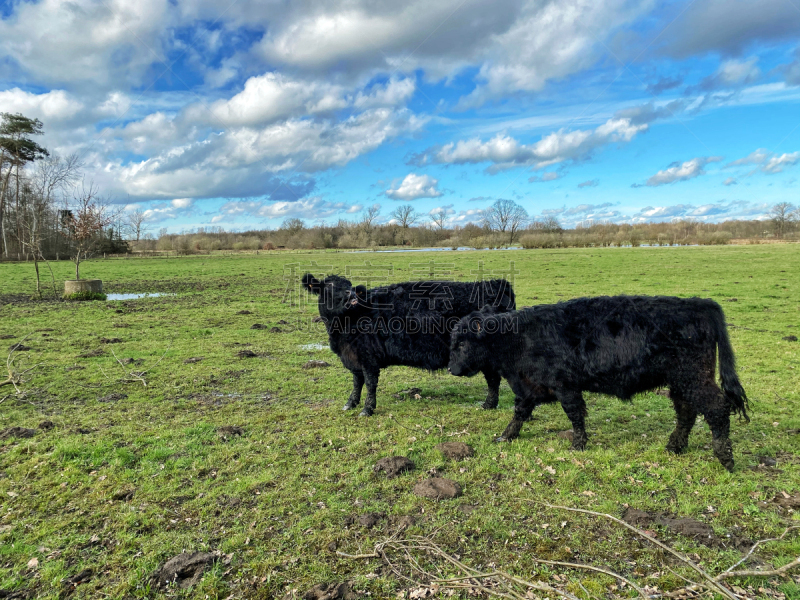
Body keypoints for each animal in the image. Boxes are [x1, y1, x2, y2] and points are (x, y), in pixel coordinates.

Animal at [304, 274, 516, 418]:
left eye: (349, 286)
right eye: (330, 286)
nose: (351, 295)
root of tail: (497, 284)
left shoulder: (368, 358)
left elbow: (370, 383)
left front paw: (367, 409)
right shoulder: (354, 358)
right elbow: (357, 382)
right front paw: (351, 403)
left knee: (493, 380)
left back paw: (488, 404)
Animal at [450, 298, 752, 472]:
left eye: (462, 342)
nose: (452, 369)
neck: (518, 337)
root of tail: (699, 303)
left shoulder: (565, 385)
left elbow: (575, 414)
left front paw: (578, 444)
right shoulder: (530, 387)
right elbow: (520, 413)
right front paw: (506, 436)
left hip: (694, 378)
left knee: (717, 408)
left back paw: (724, 456)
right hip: (681, 381)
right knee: (686, 412)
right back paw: (674, 446)